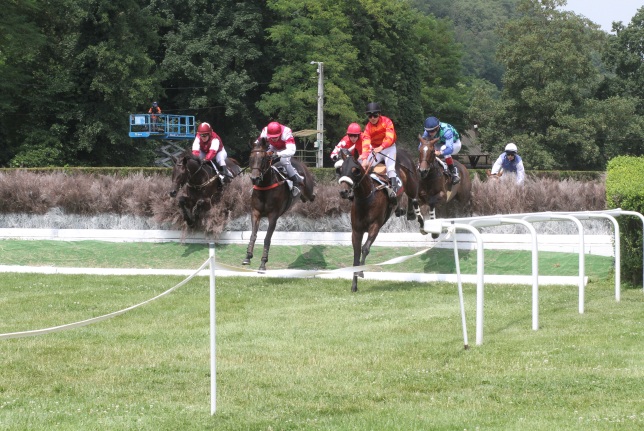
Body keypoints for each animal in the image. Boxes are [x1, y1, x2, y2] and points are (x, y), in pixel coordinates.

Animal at [243, 138, 316, 272]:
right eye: (251, 158)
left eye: (263, 159)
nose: (255, 179)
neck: (264, 187)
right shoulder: (255, 213)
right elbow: (253, 235)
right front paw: (248, 256)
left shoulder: (273, 216)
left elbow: (267, 238)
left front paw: (263, 262)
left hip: (308, 189)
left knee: (311, 196)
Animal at [338, 149, 422, 294]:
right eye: (341, 169)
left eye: (355, 170)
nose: (344, 191)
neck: (366, 197)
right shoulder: (356, 230)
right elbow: (356, 254)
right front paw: (354, 285)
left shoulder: (375, 227)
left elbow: (365, 248)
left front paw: (361, 272)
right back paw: (401, 210)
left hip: (412, 182)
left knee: (413, 196)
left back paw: (413, 214)